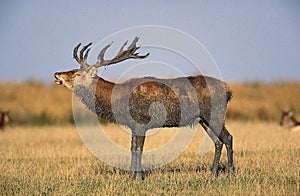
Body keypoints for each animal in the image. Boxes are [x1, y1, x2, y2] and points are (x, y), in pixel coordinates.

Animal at [55, 36, 236, 179]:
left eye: (77, 73)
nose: (57, 73)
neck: (117, 101)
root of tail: (229, 90)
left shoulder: (141, 122)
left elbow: (138, 149)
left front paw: (138, 177)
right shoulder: (134, 125)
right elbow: (132, 148)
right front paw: (132, 176)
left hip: (215, 113)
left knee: (228, 138)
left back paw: (230, 173)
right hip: (203, 119)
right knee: (217, 142)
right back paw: (213, 173)